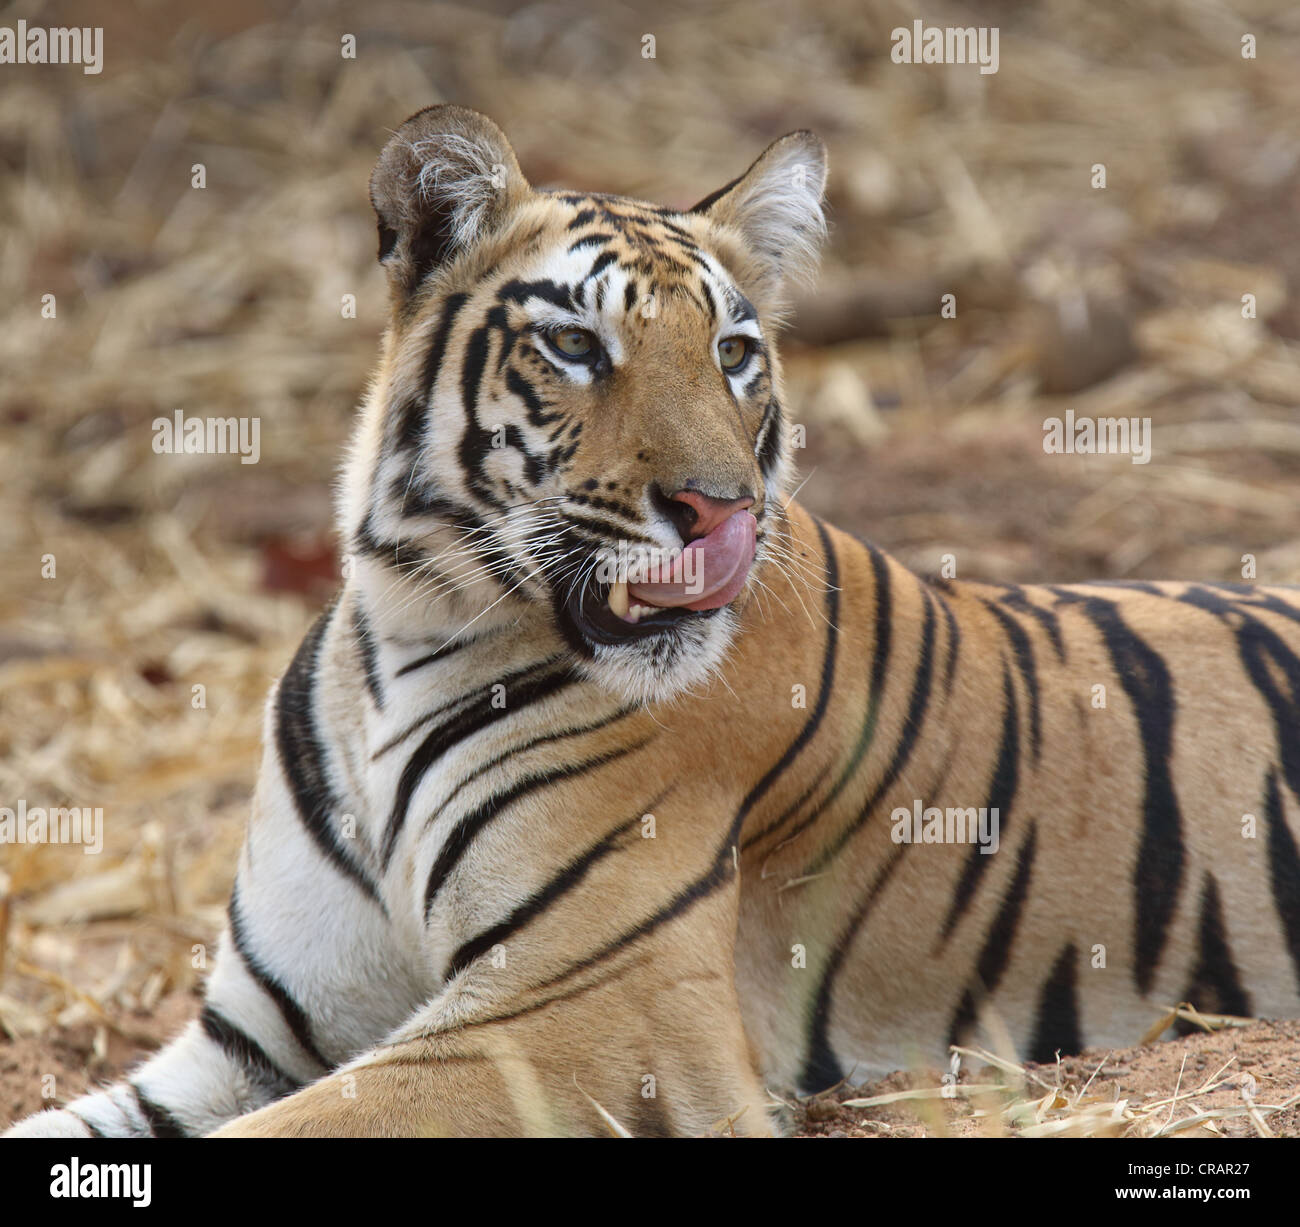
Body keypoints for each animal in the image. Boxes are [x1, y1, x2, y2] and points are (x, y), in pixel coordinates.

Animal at [7, 104, 1300, 1139]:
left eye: (732, 353)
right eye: (577, 345)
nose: (720, 508)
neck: (408, 630)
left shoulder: (571, 1010)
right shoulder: (261, 1033)